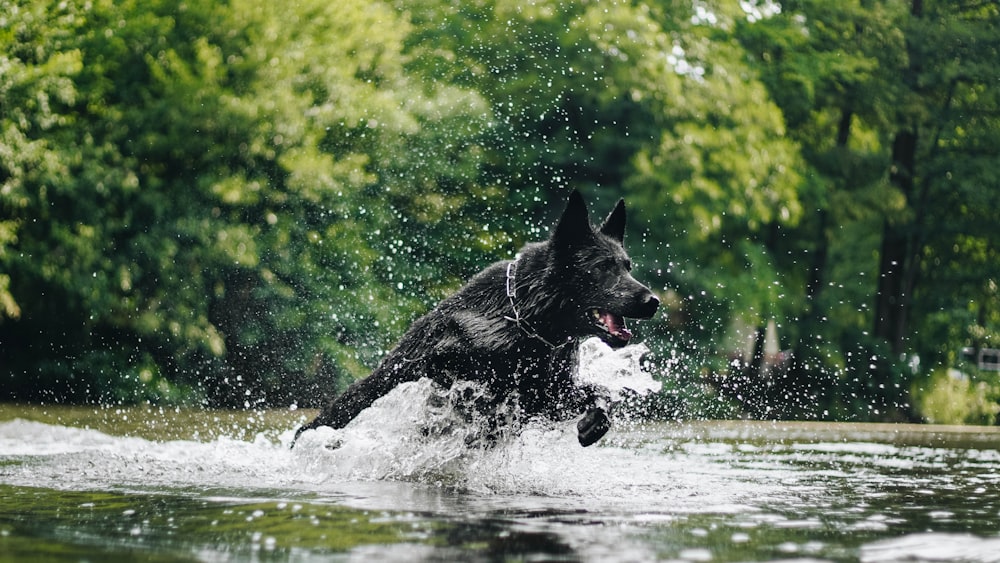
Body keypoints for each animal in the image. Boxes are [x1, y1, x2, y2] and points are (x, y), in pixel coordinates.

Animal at [292, 192, 660, 448]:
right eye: (601, 267)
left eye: (627, 266)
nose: (652, 301)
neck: (525, 320)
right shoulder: (453, 371)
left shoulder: (553, 391)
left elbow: (601, 393)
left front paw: (593, 424)